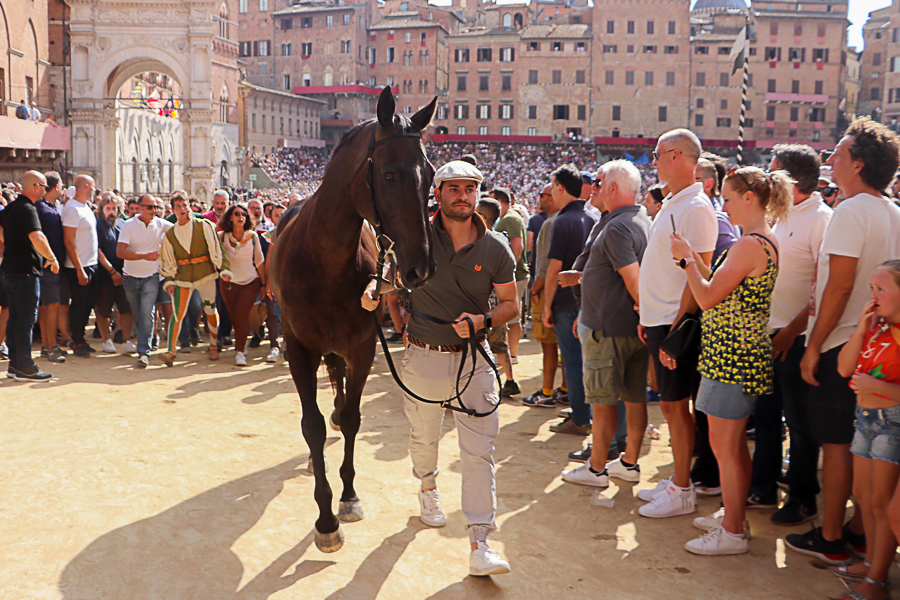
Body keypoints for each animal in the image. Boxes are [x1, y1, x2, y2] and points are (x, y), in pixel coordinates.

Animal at [269, 87, 437, 553]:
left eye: (431, 174)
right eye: (390, 175)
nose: (419, 268)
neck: (323, 259)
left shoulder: (362, 346)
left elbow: (352, 419)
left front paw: (347, 496)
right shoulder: (299, 350)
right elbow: (311, 426)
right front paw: (325, 519)